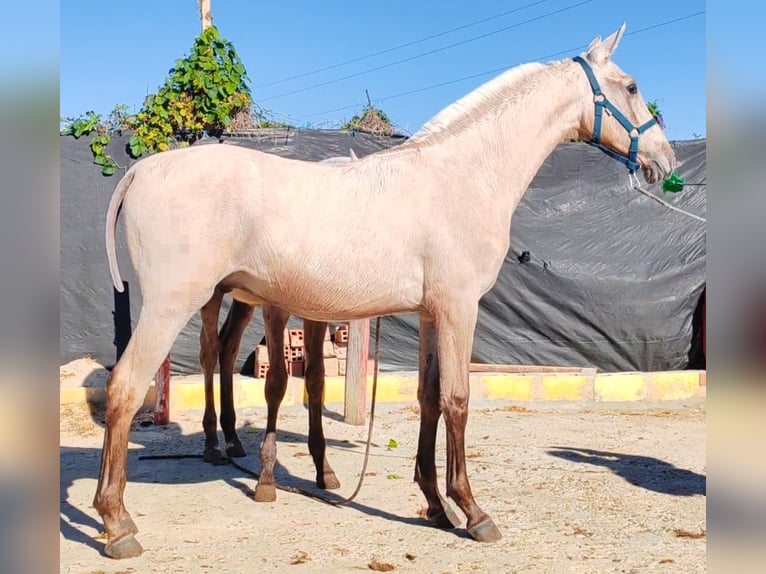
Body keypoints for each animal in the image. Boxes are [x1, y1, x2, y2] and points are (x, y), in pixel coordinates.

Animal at [97, 24, 680, 560]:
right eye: (631, 86)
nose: (665, 160)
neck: (462, 176)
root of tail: (142, 170)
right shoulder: (459, 309)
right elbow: (458, 400)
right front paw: (472, 511)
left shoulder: (429, 315)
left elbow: (428, 398)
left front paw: (435, 504)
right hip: (174, 306)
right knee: (126, 388)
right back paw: (117, 524)